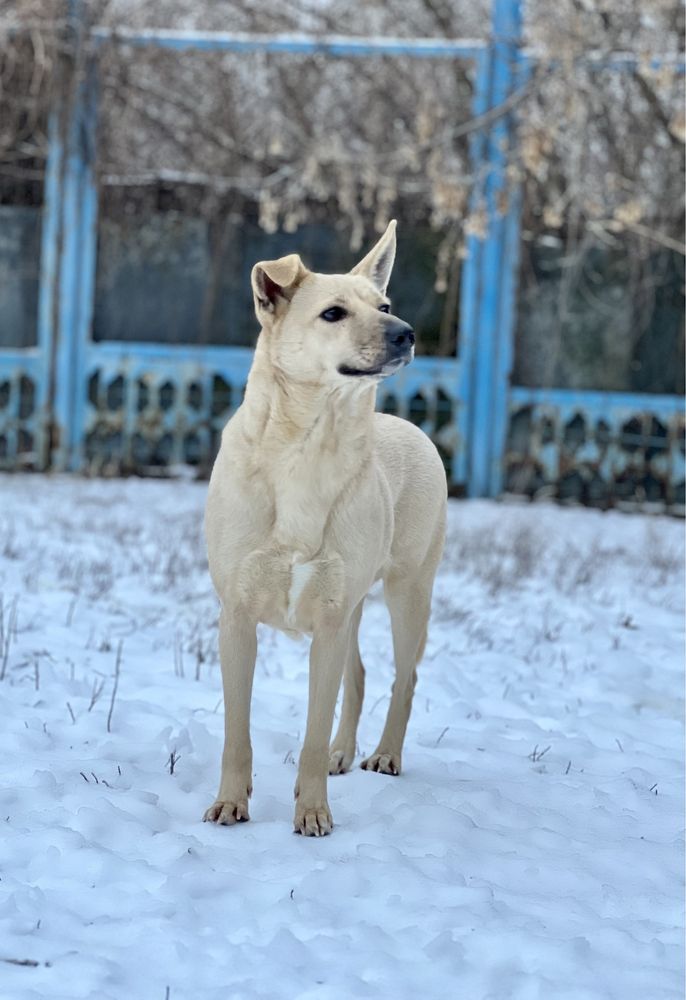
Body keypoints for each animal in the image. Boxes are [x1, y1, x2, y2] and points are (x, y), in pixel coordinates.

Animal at [202, 221, 448, 836]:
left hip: (408, 592)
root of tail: (410, 426)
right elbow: (236, 731)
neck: (309, 445)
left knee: (403, 678)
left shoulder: (331, 621)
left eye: (384, 306)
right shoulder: (237, 618)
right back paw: (344, 752)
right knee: (357, 677)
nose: (407, 334)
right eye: (333, 314)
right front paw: (230, 803)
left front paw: (312, 812)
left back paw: (384, 754)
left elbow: (311, 733)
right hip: (357, 605)